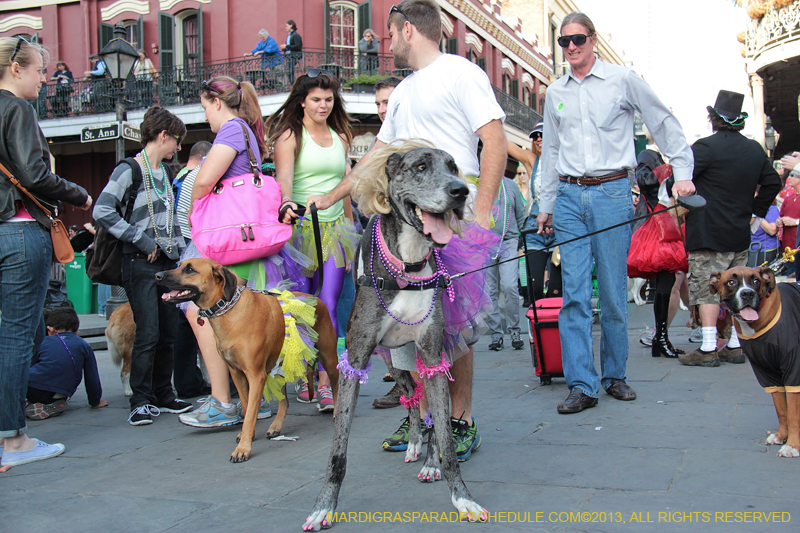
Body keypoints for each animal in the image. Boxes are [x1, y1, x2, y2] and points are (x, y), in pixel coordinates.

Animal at [157, 258, 340, 462]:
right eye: (180, 265)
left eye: (190, 270)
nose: (157, 276)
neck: (227, 308)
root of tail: (315, 298)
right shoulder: (237, 374)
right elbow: (246, 407)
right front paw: (247, 435)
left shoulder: (255, 375)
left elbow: (251, 412)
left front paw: (243, 448)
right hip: (280, 364)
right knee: (284, 402)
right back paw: (276, 426)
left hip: (328, 357)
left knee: (336, 384)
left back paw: (336, 411)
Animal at [302, 141, 484, 528]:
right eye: (420, 167)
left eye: (454, 167)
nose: (459, 191)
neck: (409, 263)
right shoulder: (355, 361)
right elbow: (338, 449)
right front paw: (324, 505)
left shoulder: (431, 352)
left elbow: (446, 436)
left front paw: (461, 496)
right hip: (391, 359)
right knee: (411, 394)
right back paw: (413, 440)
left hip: (422, 356)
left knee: (424, 401)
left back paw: (426, 457)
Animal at [708, 266, 800, 458]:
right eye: (731, 282)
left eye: (756, 281)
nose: (748, 293)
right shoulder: (768, 372)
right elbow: (782, 409)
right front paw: (781, 436)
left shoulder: (793, 370)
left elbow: (793, 414)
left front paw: (792, 446)